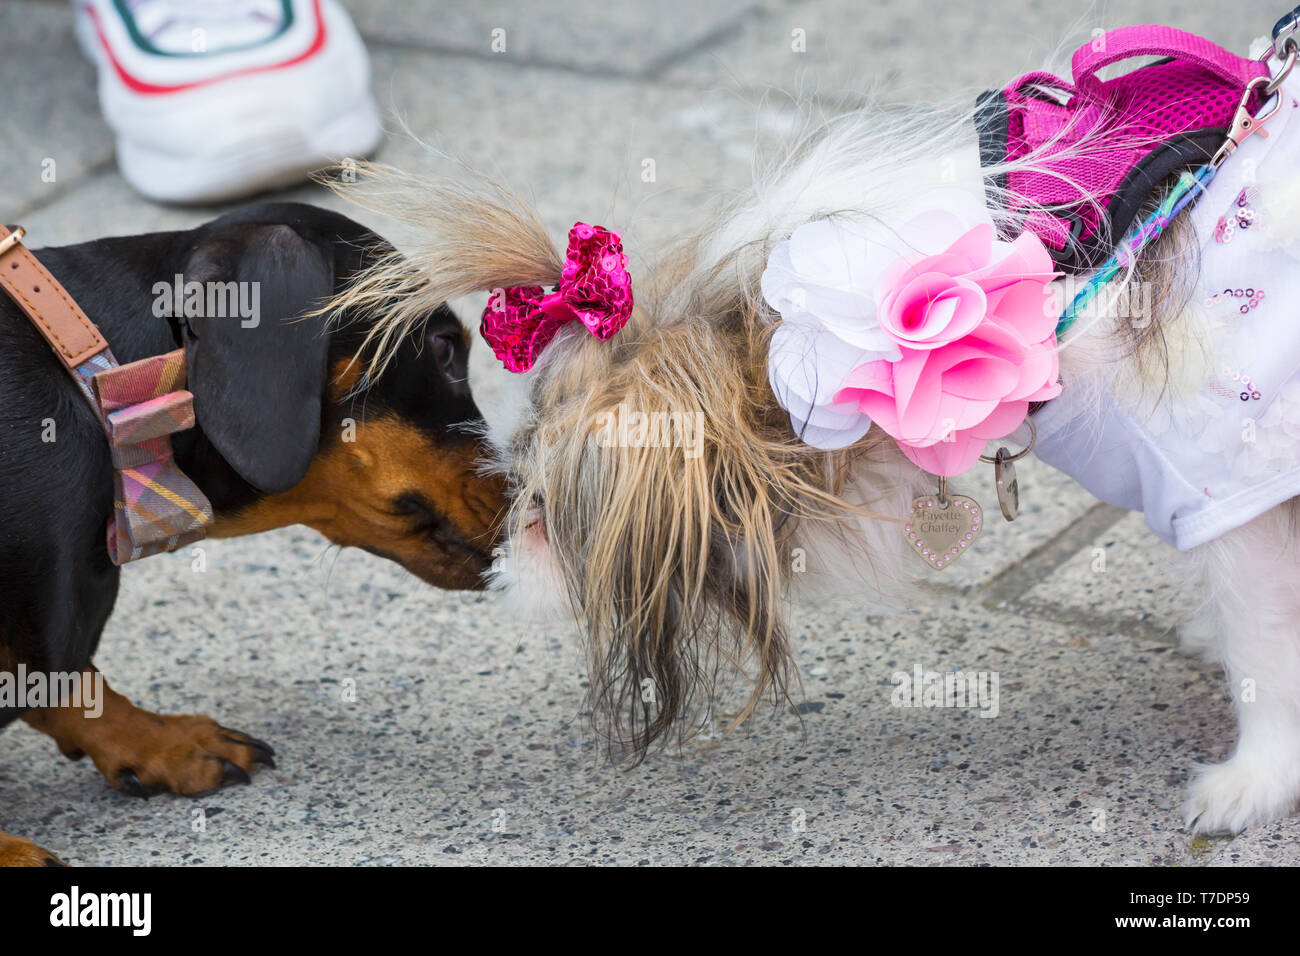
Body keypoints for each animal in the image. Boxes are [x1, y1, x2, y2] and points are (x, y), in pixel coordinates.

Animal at [330, 20, 1300, 832]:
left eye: (541, 511)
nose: (495, 562)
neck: (1063, 258)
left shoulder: (1227, 485)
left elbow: (1264, 652)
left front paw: (1251, 783)